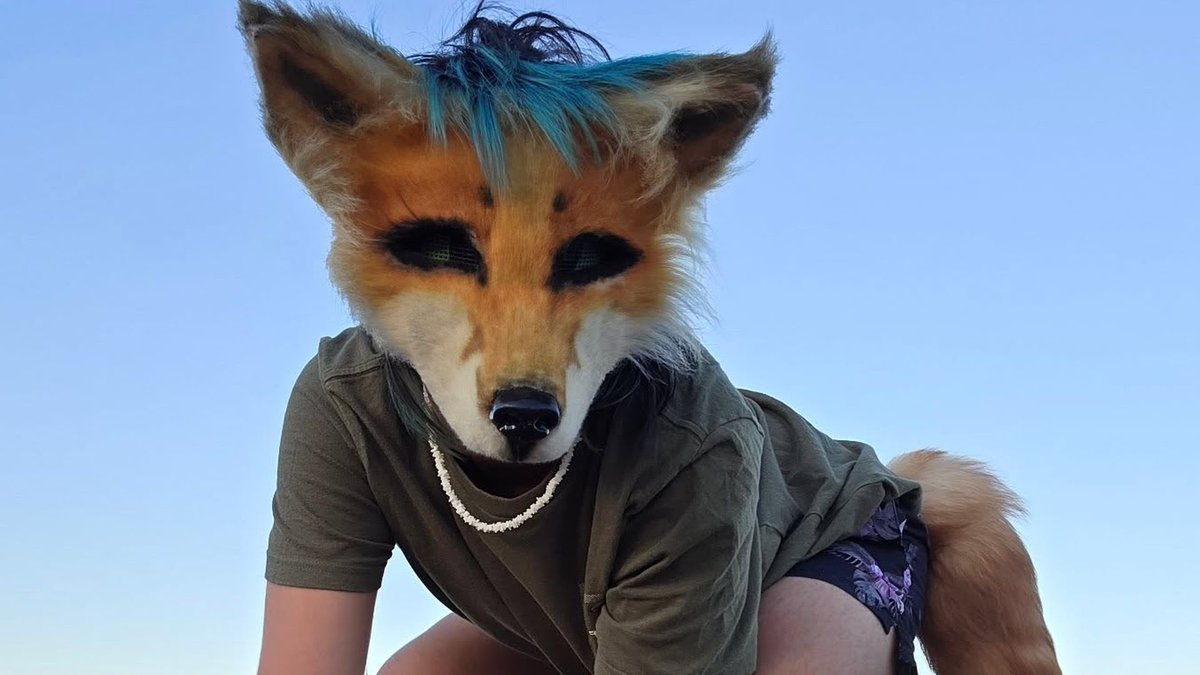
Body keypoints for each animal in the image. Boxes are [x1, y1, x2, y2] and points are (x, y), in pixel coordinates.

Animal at [241, 2, 1060, 673]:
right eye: (443, 249)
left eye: (590, 260)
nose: (524, 416)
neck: (505, 486)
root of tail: (895, 477)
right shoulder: (318, 411)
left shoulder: (708, 474)